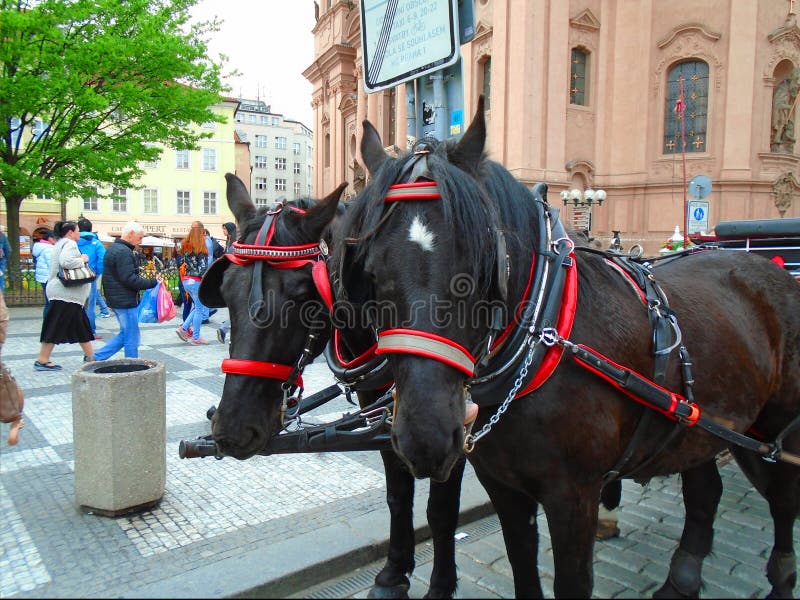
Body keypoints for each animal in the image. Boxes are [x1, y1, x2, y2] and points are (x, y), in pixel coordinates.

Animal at [196, 172, 466, 596]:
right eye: (224, 291)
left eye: (302, 294)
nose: (231, 430)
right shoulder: (382, 414)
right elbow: (397, 494)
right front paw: (393, 572)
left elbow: (440, 510)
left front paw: (440, 585)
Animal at [334, 101, 800, 596]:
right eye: (369, 271)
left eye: (481, 266)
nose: (425, 438)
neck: (545, 335)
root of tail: (770, 267)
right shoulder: (504, 487)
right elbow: (522, 567)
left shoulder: (574, 496)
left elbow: (571, 581)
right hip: (700, 426)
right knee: (705, 488)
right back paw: (683, 575)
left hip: (777, 432)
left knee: (784, 501)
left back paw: (781, 576)